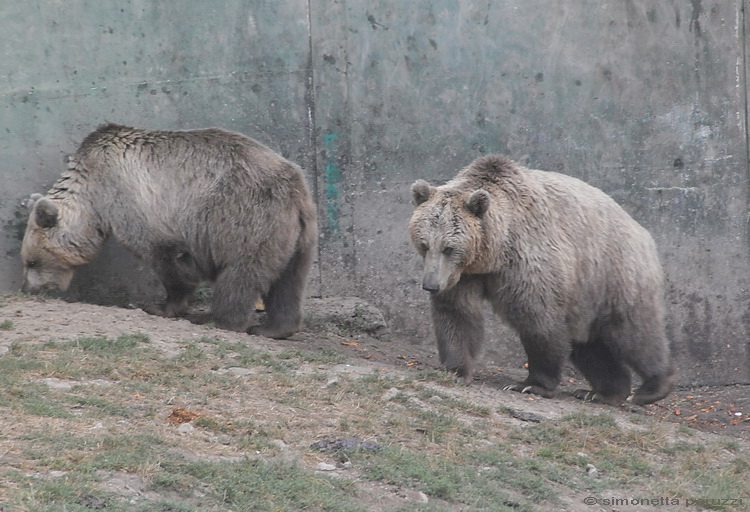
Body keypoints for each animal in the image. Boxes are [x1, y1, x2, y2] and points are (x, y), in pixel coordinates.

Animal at [20, 124, 320, 340]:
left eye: (31, 262)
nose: (28, 289)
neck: (92, 196)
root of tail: (295, 188)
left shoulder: (135, 202)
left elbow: (166, 259)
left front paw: (161, 306)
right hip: (298, 236)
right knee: (289, 281)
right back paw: (274, 328)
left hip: (243, 218)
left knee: (241, 274)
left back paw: (221, 320)